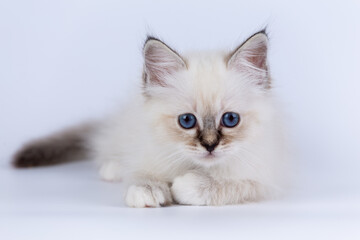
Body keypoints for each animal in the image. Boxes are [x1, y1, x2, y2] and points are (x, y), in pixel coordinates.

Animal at [12, 29, 286, 206]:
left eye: (230, 119)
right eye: (187, 121)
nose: (210, 146)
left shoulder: (266, 178)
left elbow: (231, 184)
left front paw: (187, 186)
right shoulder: (149, 150)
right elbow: (143, 172)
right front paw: (147, 190)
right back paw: (114, 168)